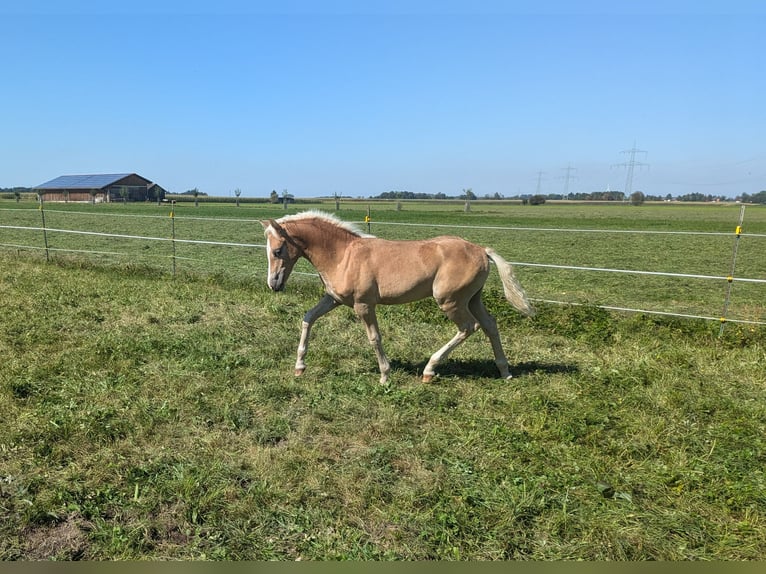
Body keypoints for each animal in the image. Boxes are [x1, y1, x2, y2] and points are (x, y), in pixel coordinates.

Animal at [260, 213, 536, 388]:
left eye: (277, 250)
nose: (274, 284)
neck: (343, 255)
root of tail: (482, 250)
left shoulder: (363, 305)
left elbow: (374, 337)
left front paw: (385, 375)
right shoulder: (334, 299)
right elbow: (308, 318)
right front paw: (299, 367)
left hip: (450, 301)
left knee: (469, 327)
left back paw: (429, 370)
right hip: (472, 299)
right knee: (490, 325)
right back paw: (505, 371)